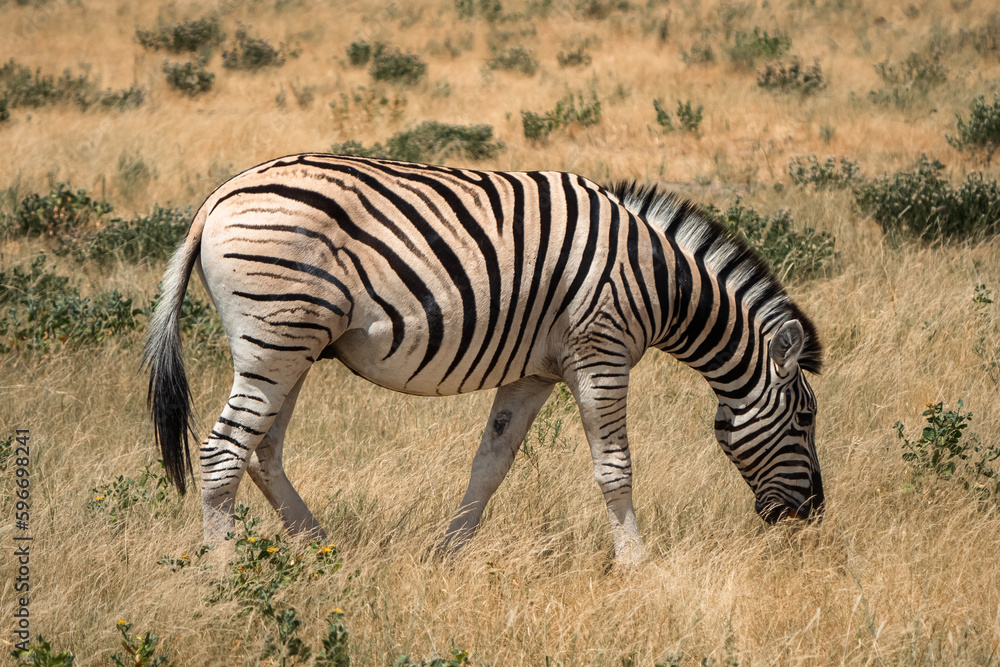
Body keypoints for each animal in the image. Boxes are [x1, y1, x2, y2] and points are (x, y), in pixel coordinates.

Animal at [144, 154, 824, 564]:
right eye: (806, 419)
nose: (812, 515)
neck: (659, 282)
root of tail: (220, 194)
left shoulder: (534, 372)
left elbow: (490, 464)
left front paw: (448, 554)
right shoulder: (600, 354)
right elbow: (615, 467)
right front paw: (636, 563)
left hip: (294, 348)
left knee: (263, 450)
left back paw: (320, 548)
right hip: (277, 339)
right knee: (223, 452)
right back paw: (222, 574)